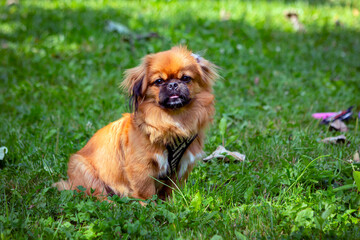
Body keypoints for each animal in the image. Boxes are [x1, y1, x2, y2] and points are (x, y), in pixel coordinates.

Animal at [53, 46, 217, 202]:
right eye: (159, 81)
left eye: (186, 78)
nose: (173, 84)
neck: (173, 119)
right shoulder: (141, 166)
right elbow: (146, 191)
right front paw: (149, 205)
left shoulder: (182, 165)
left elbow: (171, 190)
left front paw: (171, 203)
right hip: (83, 169)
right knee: (97, 194)